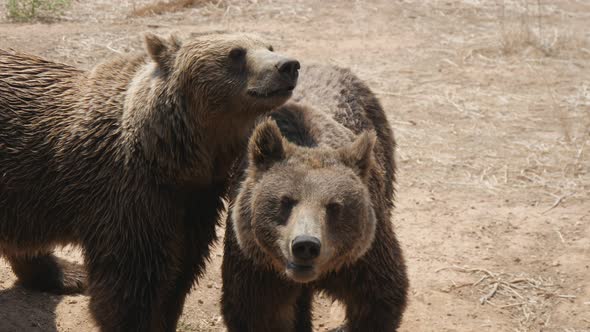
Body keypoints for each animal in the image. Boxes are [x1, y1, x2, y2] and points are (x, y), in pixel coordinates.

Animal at [0, 31, 300, 332]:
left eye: (269, 46)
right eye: (236, 53)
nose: (288, 65)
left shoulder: (193, 202)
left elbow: (180, 274)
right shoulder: (129, 197)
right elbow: (132, 286)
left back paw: (67, 275)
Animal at [224, 63, 410, 330]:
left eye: (334, 206)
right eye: (285, 201)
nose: (305, 245)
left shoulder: (362, 260)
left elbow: (380, 298)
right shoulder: (256, 268)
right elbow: (259, 313)